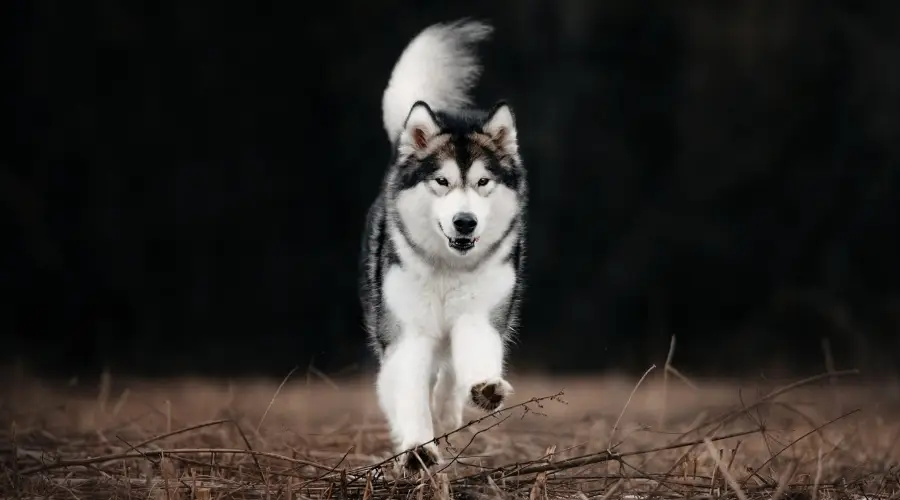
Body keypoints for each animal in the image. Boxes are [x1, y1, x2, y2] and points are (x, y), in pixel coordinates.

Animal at [358, 20, 528, 472]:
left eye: (483, 181)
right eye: (442, 181)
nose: (464, 221)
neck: (449, 267)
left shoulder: (479, 313)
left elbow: (475, 353)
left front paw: (482, 390)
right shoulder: (407, 331)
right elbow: (409, 390)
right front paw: (417, 448)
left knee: (450, 372)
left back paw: (451, 409)